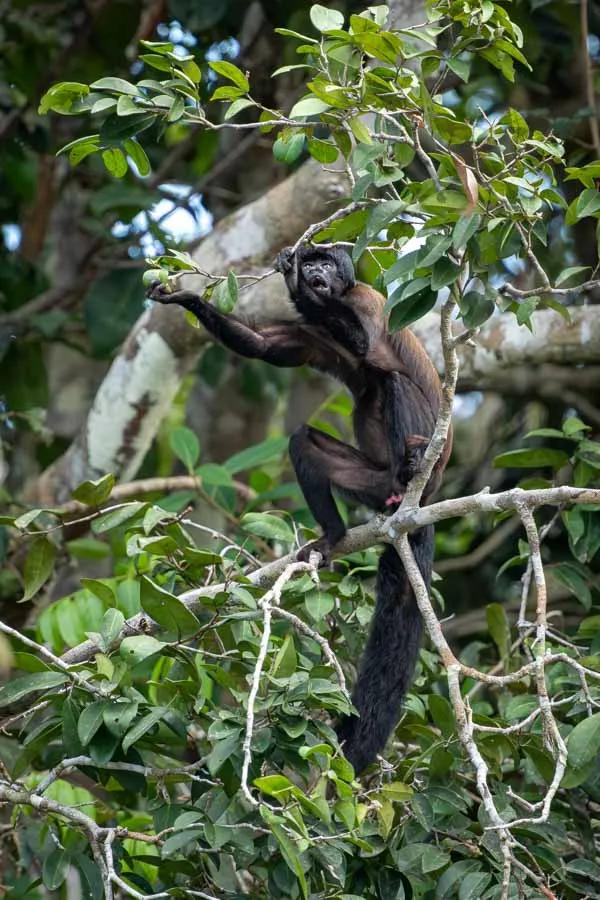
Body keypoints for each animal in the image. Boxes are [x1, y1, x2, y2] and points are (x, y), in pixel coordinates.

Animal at [148, 245, 451, 773]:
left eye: (326, 263)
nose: (314, 272)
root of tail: (420, 502)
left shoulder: (366, 300)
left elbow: (365, 343)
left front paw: (292, 280)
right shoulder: (312, 332)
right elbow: (264, 347)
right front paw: (187, 299)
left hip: (422, 472)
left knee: (392, 381)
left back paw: (411, 464)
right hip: (369, 483)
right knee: (303, 441)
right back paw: (332, 535)